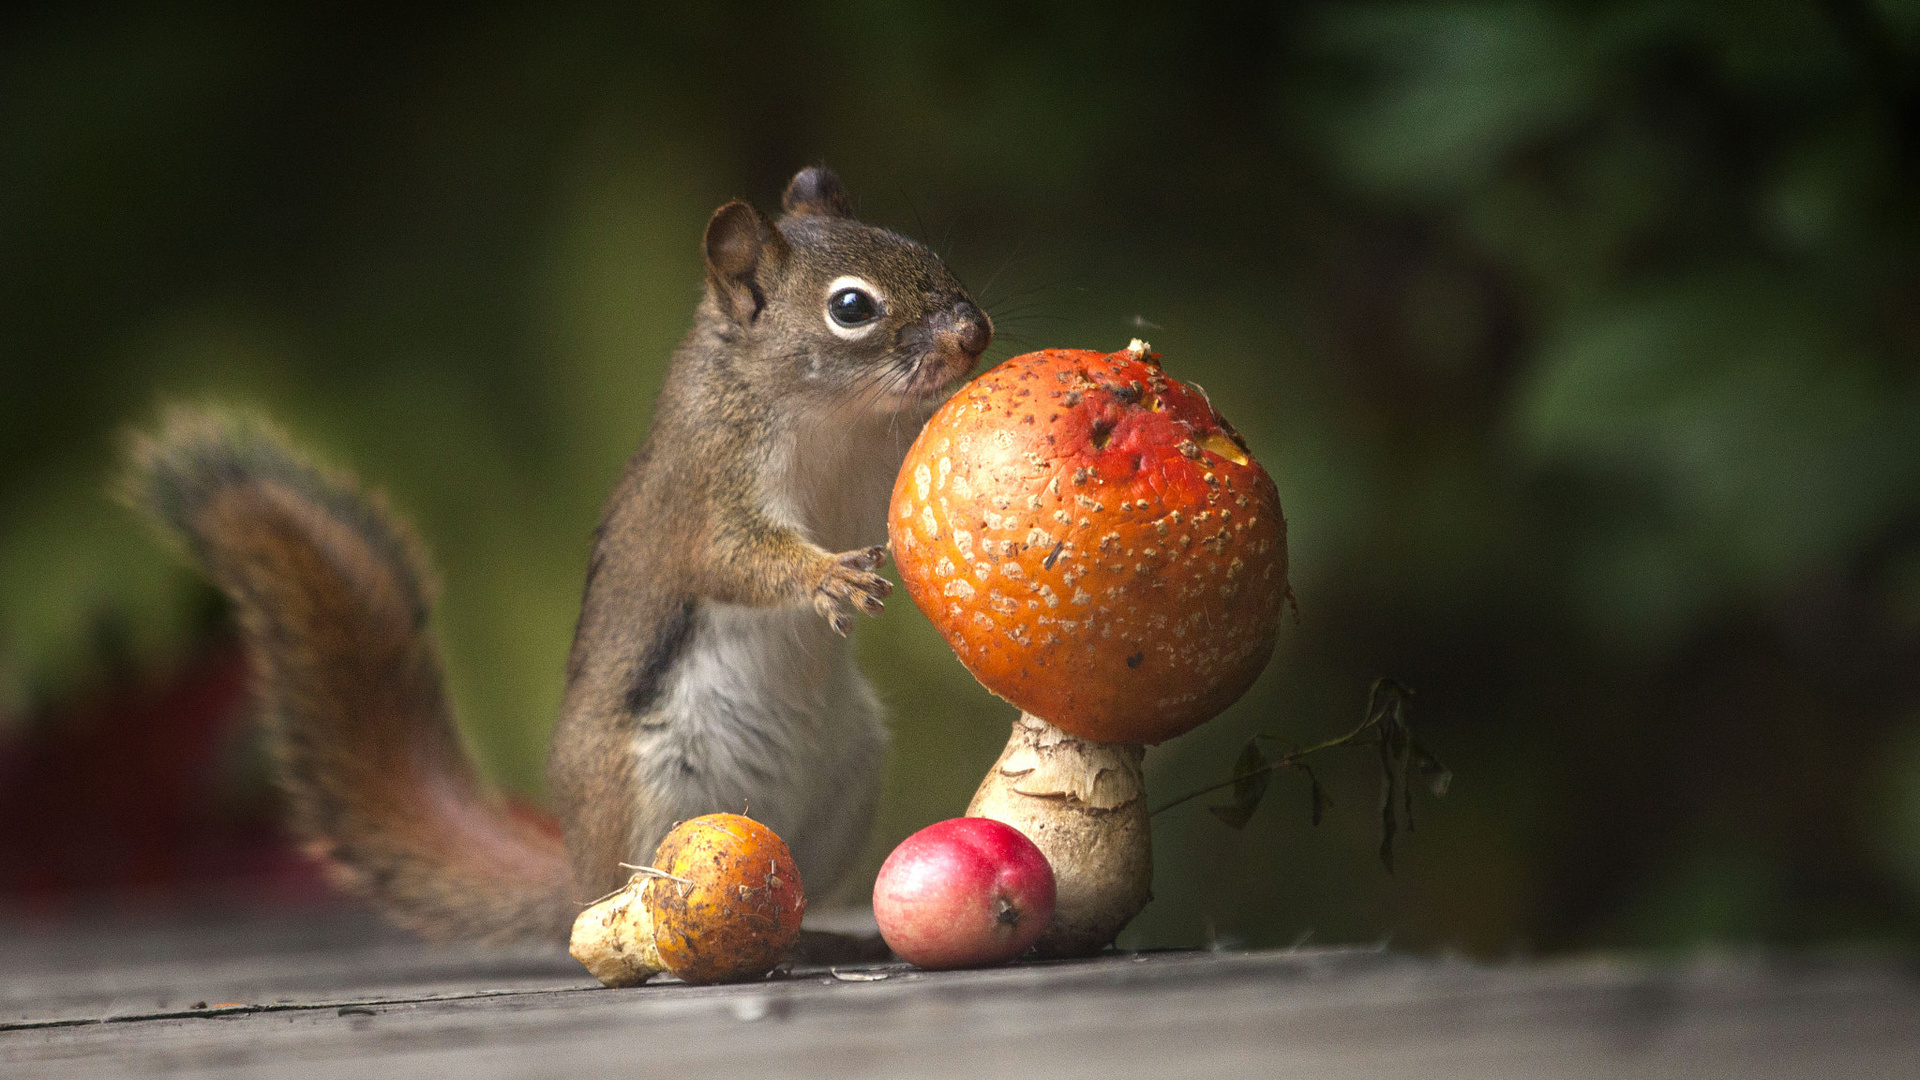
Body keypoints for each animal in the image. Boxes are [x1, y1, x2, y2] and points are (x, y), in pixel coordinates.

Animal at [123, 168, 990, 941]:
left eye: (917, 245)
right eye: (851, 307)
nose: (974, 332)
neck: (837, 419)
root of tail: (576, 866)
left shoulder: (880, 472)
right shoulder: (705, 490)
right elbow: (732, 560)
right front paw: (826, 577)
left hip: (849, 779)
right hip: (645, 789)